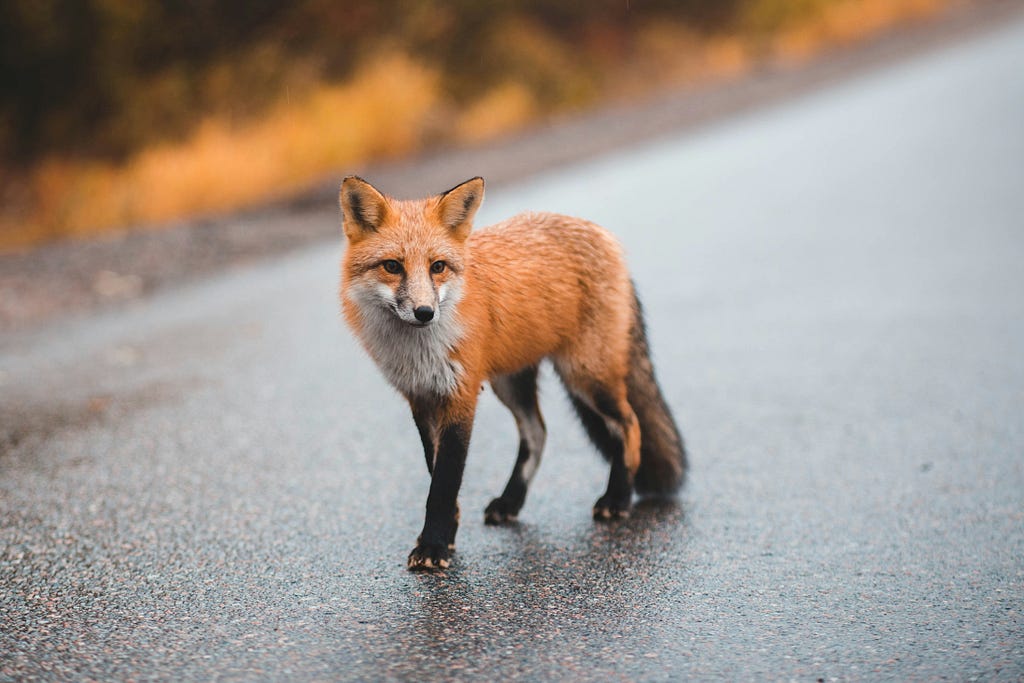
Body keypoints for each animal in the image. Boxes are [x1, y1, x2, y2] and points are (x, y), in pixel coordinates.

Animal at [339, 176, 684, 573]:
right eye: (392, 266)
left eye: (437, 266)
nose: (425, 312)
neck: (419, 351)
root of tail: (601, 233)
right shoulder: (421, 397)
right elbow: (435, 473)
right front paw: (446, 535)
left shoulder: (461, 395)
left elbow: (444, 482)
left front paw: (434, 545)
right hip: (511, 383)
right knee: (538, 432)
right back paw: (511, 501)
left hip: (585, 375)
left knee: (628, 424)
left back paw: (617, 498)